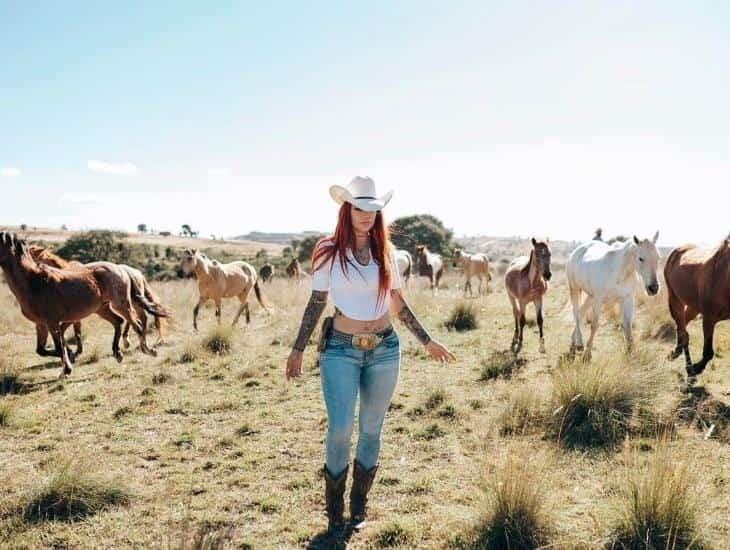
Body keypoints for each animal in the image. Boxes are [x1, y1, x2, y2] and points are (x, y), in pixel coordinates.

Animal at [0, 233, 164, 380]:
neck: (33, 281)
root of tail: (123, 269)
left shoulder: (53, 322)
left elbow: (60, 344)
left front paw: (67, 367)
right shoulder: (41, 323)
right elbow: (42, 349)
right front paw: (71, 357)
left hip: (121, 304)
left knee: (137, 324)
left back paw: (148, 350)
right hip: (102, 308)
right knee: (120, 321)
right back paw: (118, 353)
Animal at [564, 233, 660, 362]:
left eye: (658, 257)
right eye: (641, 258)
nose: (653, 288)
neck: (619, 273)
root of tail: (577, 250)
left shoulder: (627, 299)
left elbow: (628, 326)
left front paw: (630, 353)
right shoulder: (598, 300)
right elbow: (594, 325)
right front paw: (587, 355)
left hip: (590, 297)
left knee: (580, 312)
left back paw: (573, 345)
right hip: (575, 289)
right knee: (576, 313)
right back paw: (579, 344)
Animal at [664, 239, 724, 382]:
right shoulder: (709, 317)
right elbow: (708, 352)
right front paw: (695, 368)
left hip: (693, 307)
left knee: (682, 327)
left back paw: (676, 353)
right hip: (674, 299)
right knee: (683, 332)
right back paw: (688, 367)